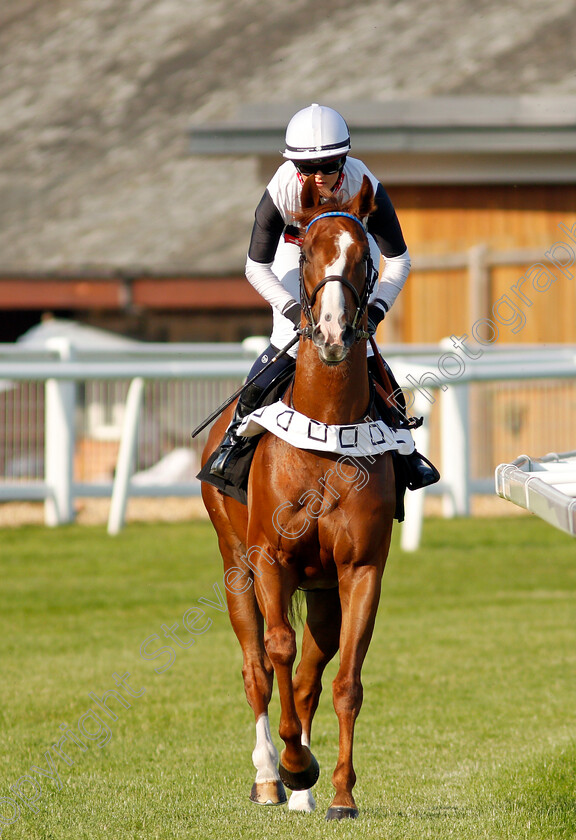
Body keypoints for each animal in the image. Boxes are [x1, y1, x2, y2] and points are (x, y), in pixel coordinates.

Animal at [201, 176, 396, 820]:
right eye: (308, 251)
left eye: (363, 258)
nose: (334, 333)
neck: (326, 431)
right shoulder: (269, 558)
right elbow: (278, 651)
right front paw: (290, 763)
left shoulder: (360, 568)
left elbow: (344, 680)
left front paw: (338, 791)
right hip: (235, 563)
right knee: (256, 667)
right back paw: (270, 777)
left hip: (323, 588)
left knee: (313, 672)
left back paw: (305, 792)